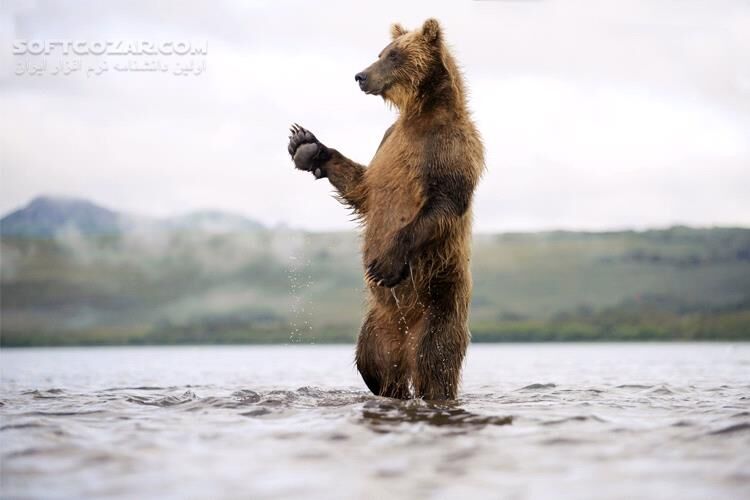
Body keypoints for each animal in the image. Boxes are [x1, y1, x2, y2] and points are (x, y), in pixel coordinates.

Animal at [287, 18, 484, 400]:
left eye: (393, 55)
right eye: (380, 52)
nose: (360, 75)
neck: (422, 113)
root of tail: (404, 340)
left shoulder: (451, 147)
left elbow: (442, 203)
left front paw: (385, 264)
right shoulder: (389, 143)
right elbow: (363, 188)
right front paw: (306, 145)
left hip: (440, 302)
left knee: (435, 364)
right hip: (377, 327)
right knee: (374, 367)